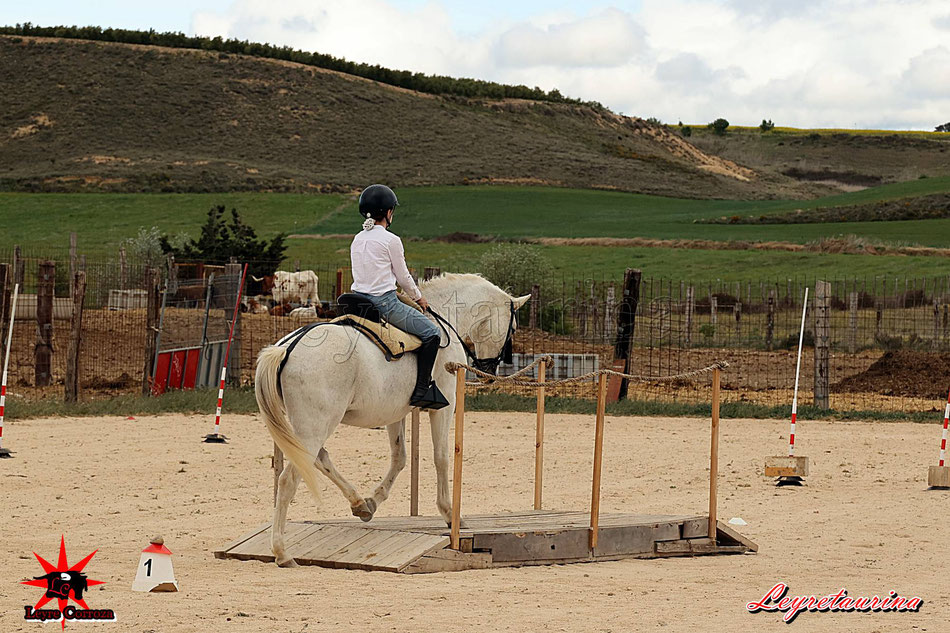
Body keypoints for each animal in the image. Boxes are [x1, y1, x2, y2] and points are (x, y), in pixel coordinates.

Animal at [256, 274, 532, 564]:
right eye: (513, 328)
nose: (489, 373)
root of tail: (287, 347)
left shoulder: (394, 413)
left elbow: (399, 458)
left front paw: (373, 501)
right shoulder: (444, 408)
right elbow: (441, 458)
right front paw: (449, 514)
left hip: (309, 427)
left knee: (321, 459)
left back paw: (358, 503)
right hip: (315, 426)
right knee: (289, 479)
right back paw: (282, 551)